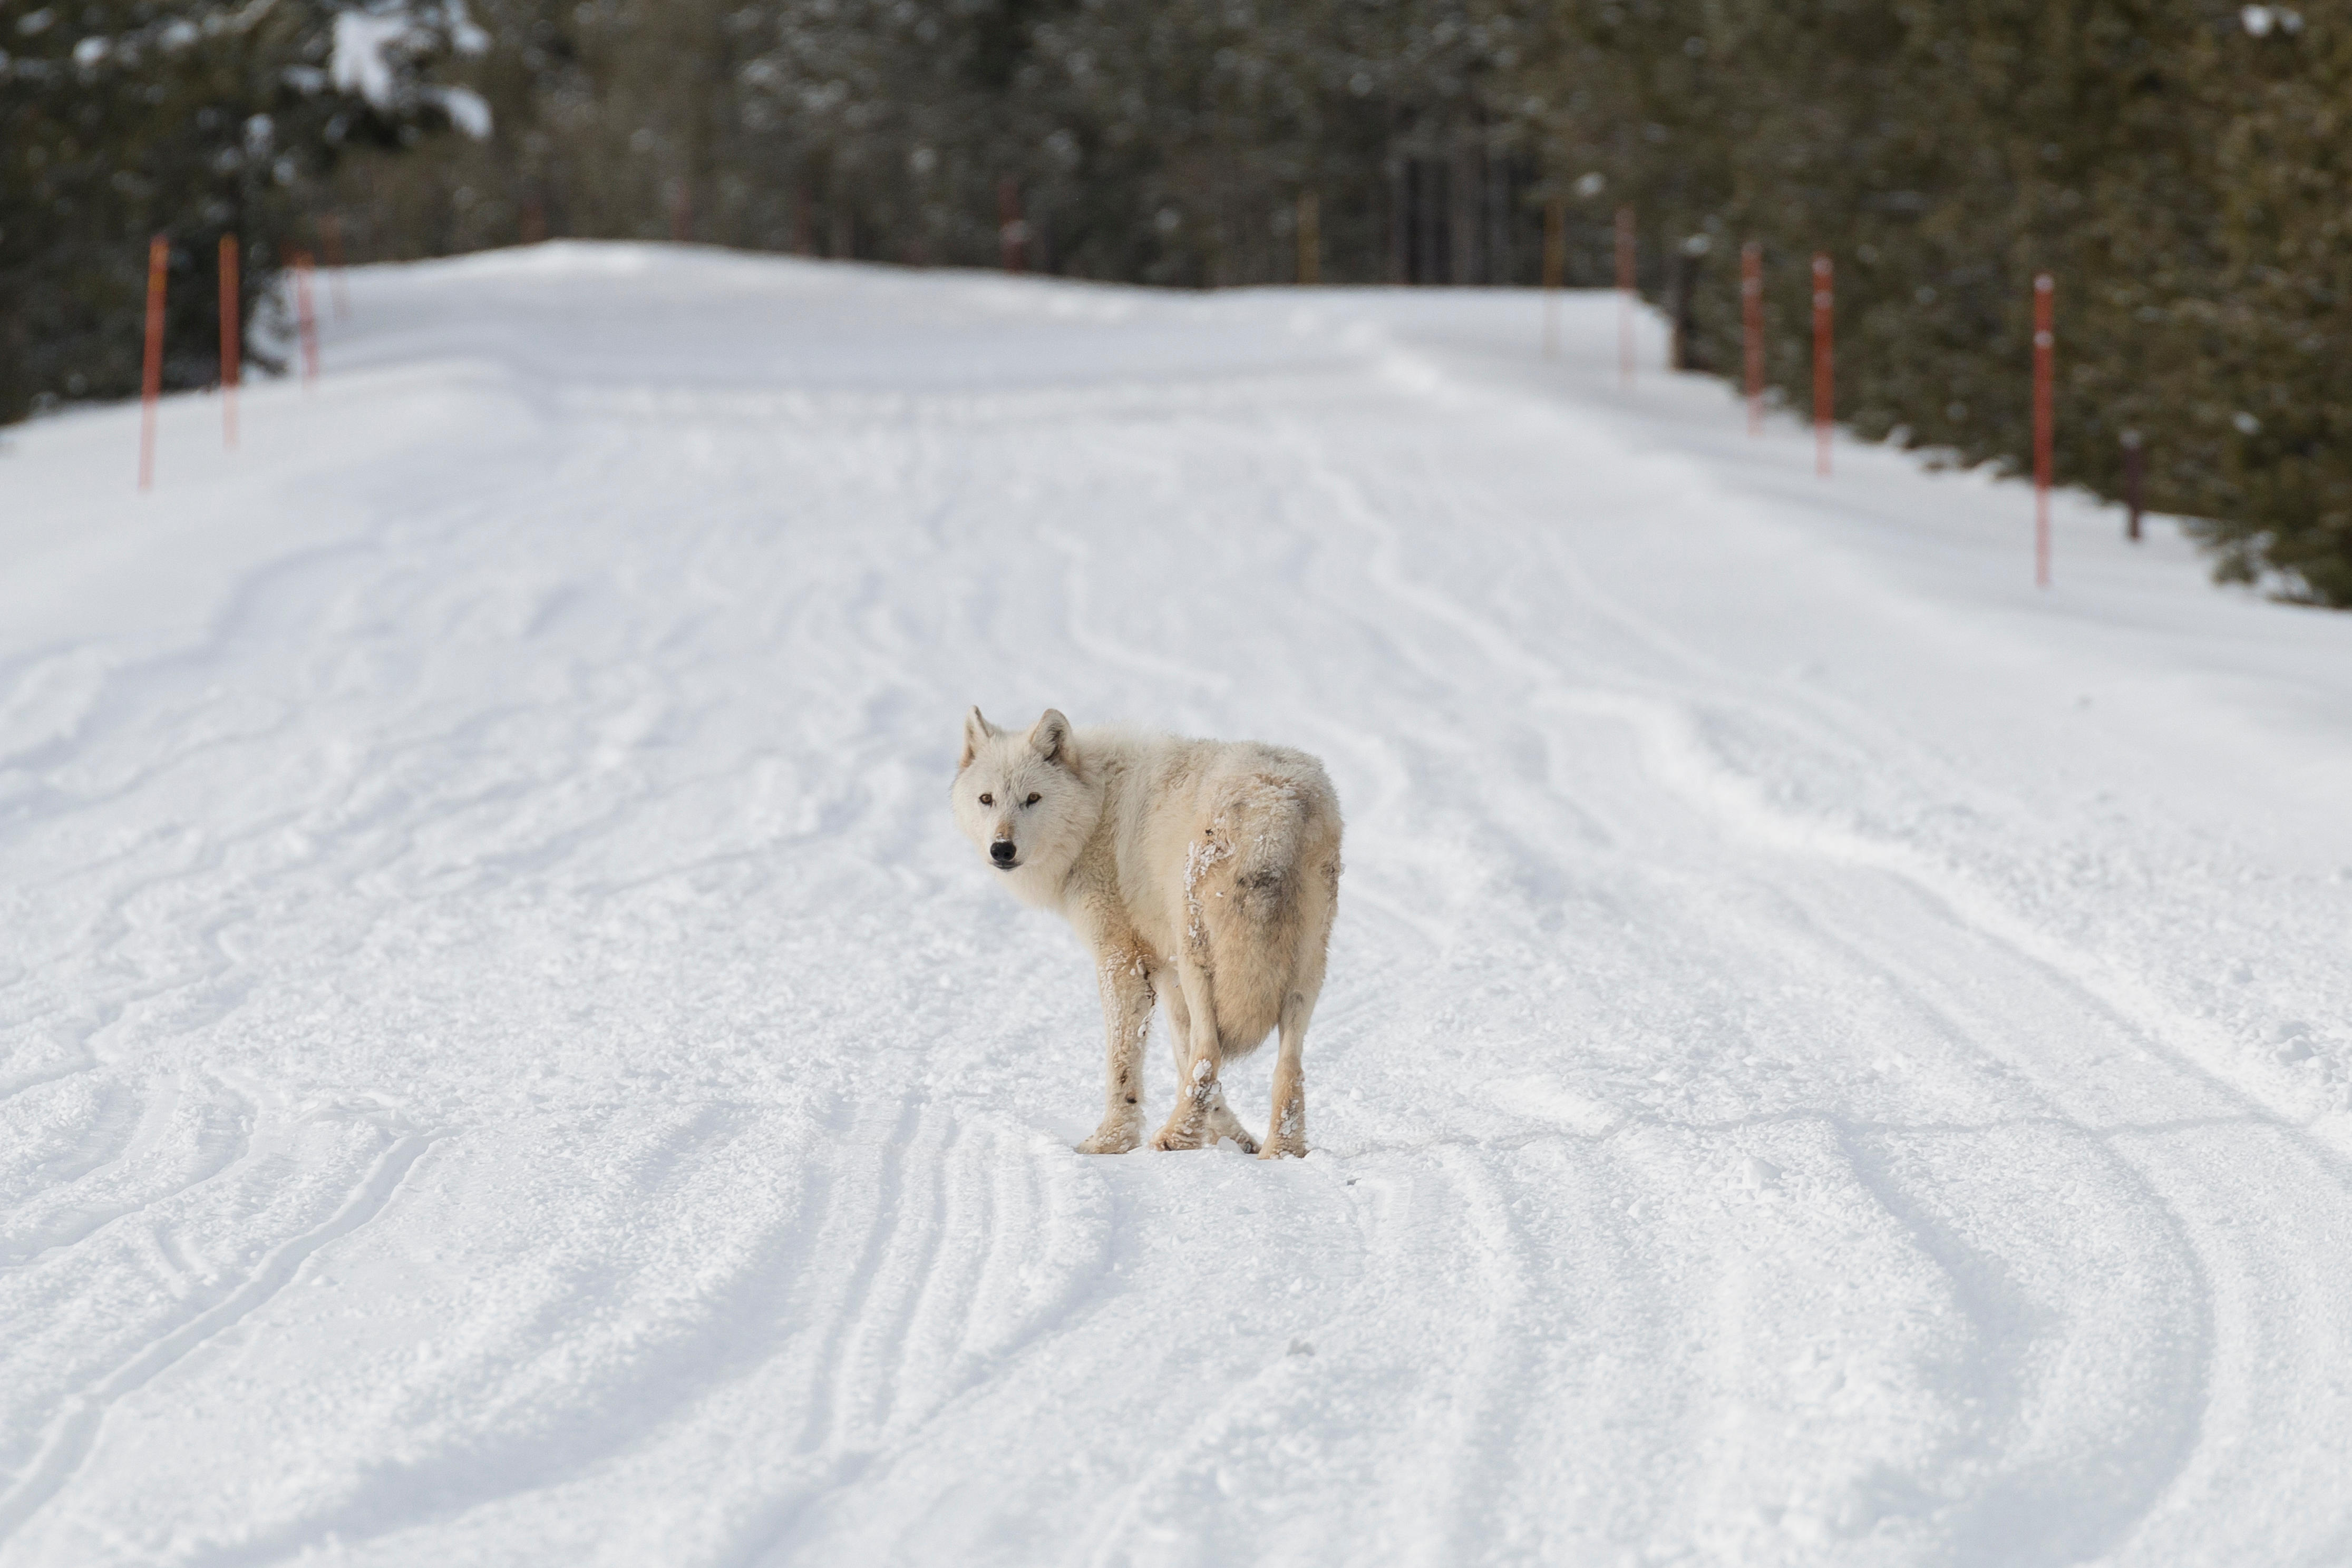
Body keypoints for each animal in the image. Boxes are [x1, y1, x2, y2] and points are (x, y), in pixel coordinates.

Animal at [952, 708, 1343, 1157]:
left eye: (1033, 799)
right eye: (987, 799)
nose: (1002, 849)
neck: (1097, 808)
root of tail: (1272, 806)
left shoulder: (1122, 960)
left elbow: (1125, 1061)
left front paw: (1111, 1141)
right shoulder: (1166, 971)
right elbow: (1182, 1056)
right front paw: (1234, 1138)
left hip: (1200, 962)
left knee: (1210, 1053)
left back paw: (1173, 1138)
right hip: (1303, 974)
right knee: (1287, 1066)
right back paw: (1281, 1150)